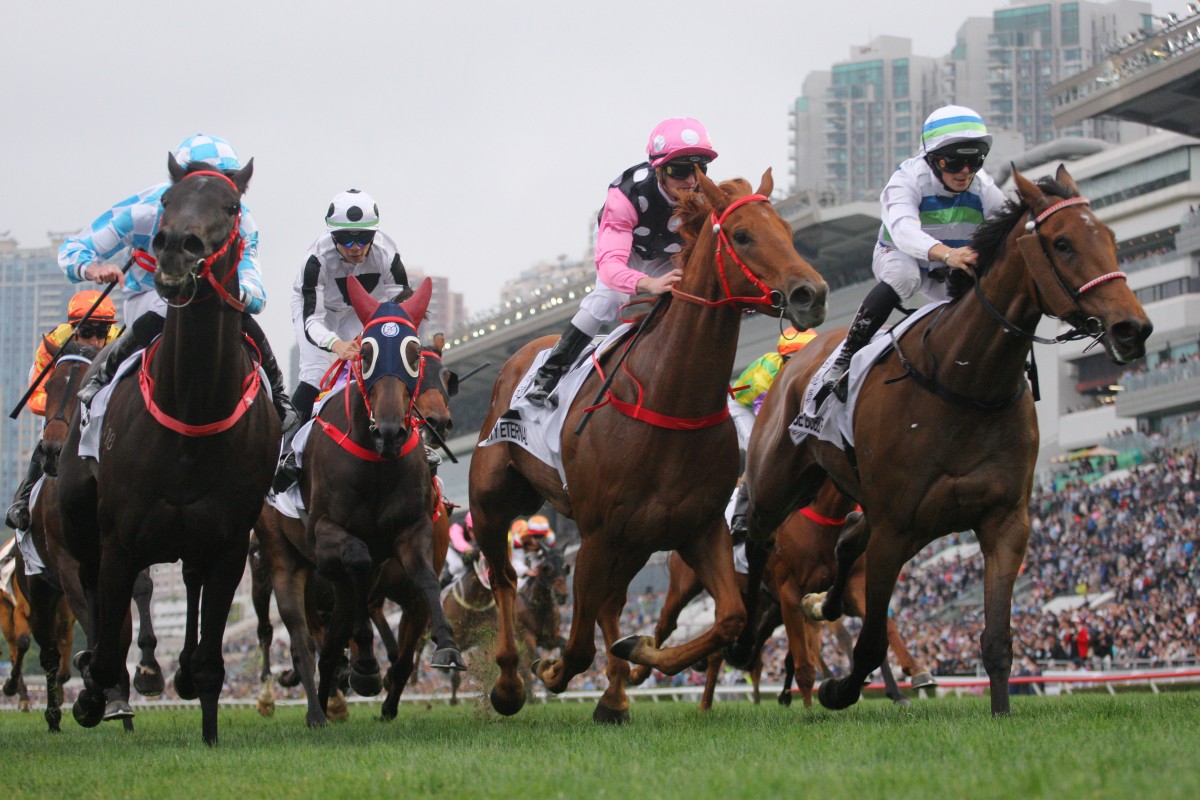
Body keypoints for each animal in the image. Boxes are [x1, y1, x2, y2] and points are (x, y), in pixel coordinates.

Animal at [58, 155, 280, 743]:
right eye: (165, 200)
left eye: (231, 206)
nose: (177, 247)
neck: (193, 412)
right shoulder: (118, 540)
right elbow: (106, 650)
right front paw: (94, 695)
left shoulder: (229, 546)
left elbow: (211, 661)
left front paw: (208, 730)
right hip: (82, 524)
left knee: (189, 585)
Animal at [468, 172, 825, 724]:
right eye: (742, 235)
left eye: (786, 230)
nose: (812, 293)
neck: (670, 399)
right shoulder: (595, 534)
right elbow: (577, 647)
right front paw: (553, 670)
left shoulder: (700, 528)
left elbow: (728, 619)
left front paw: (635, 657)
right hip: (492, 501)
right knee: (504, 579)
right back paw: (509, 683)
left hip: (634, 540)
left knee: (611, 604)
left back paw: (614, 695)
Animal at [744, 165, 1147, 714]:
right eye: (1063, 243)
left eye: (1109, 237)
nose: (1133, 329)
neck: (965, 381)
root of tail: (795, 356)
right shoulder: (895, 529)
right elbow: (870, 641)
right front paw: (837, 689)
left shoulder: (1004, 522)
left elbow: (996, 639)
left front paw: (1000, 713)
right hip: (778, 485)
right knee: (755, 542)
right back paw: (742, 638)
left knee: (845, 541)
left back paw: (816, 606)